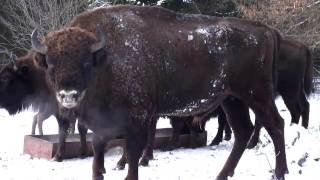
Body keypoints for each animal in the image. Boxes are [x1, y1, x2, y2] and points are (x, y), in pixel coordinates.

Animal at [31, 4, 288, 179]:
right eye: (50, 63)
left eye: (85, 62)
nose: (68, 95)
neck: (105, 59)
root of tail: (266, 30)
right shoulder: (104, 123)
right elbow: (98, 151)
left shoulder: (138, 118)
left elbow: (133, 152)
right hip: (232, 99)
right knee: (243, 131)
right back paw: (222, 175)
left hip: (257, 94)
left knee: (275, 124)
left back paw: (279, 172)